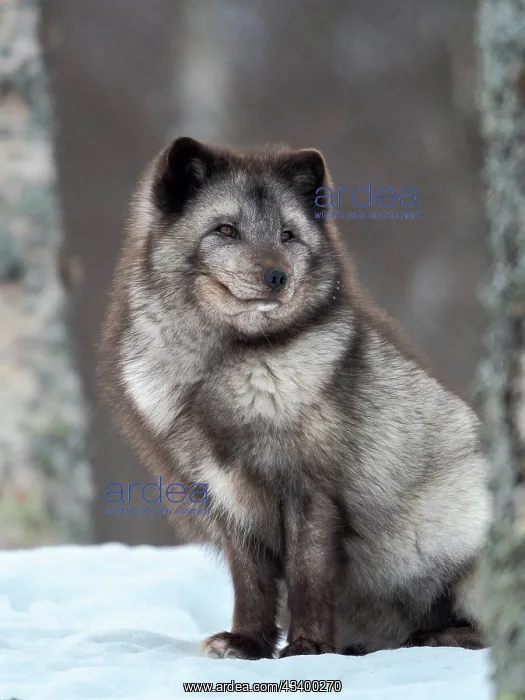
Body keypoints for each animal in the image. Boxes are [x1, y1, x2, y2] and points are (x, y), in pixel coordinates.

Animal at [99, 136, 490, 660]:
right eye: (226, 229)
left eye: (288, 235)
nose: (277, 276)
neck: (225, 362)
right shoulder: (225, 494)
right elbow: (250, 580)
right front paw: (246, 642)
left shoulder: (312, 489)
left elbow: (307, 574)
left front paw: (306, 646)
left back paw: (436, 637)